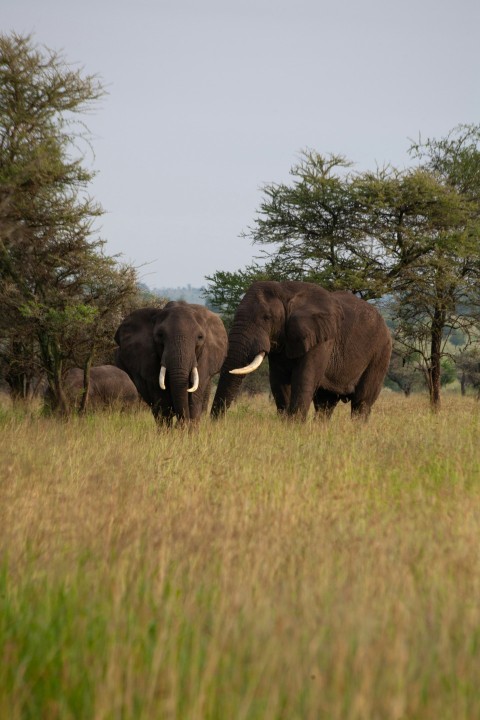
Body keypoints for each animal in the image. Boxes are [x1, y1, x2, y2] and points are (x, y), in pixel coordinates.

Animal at [212, 278, 392, 420]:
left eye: (266, 317)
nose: (216, 423)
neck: (286, 290)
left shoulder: (322, 339)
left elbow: (304, 377)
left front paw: (294, 427)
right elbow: (279, 381)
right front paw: (285, 424)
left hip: (381, 353)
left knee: (362, 402)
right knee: (325, 403)